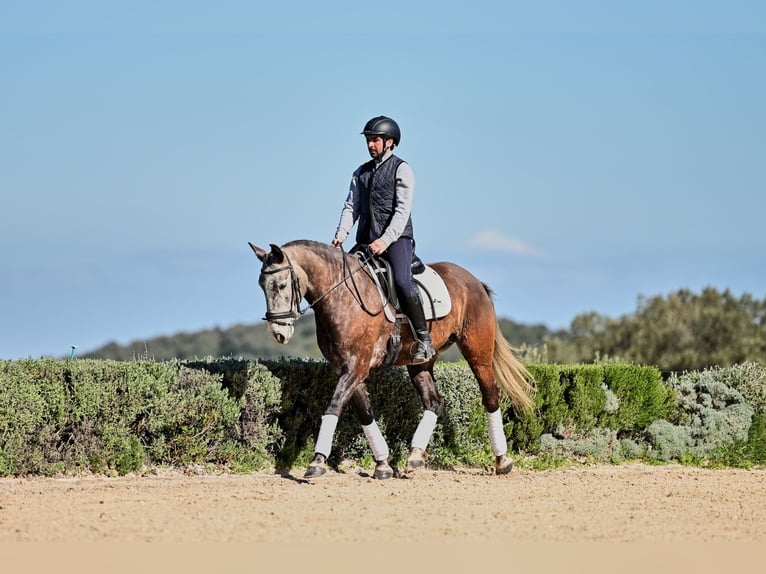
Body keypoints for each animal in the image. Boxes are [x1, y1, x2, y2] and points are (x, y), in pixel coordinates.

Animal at [249, 240, 536, 482]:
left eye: (281, 285)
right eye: (262, 286)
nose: (279, 333)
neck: (341, 296)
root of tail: (474, 282)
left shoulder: (356, 366)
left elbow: (333, 406)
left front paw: (317, 461)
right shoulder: (347, 368)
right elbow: (364, 412)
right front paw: (383, 465)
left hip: (478, 353)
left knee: (490, 396)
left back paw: (502, 460)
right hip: (420, 363)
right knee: (434, 401)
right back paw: (415, 456)